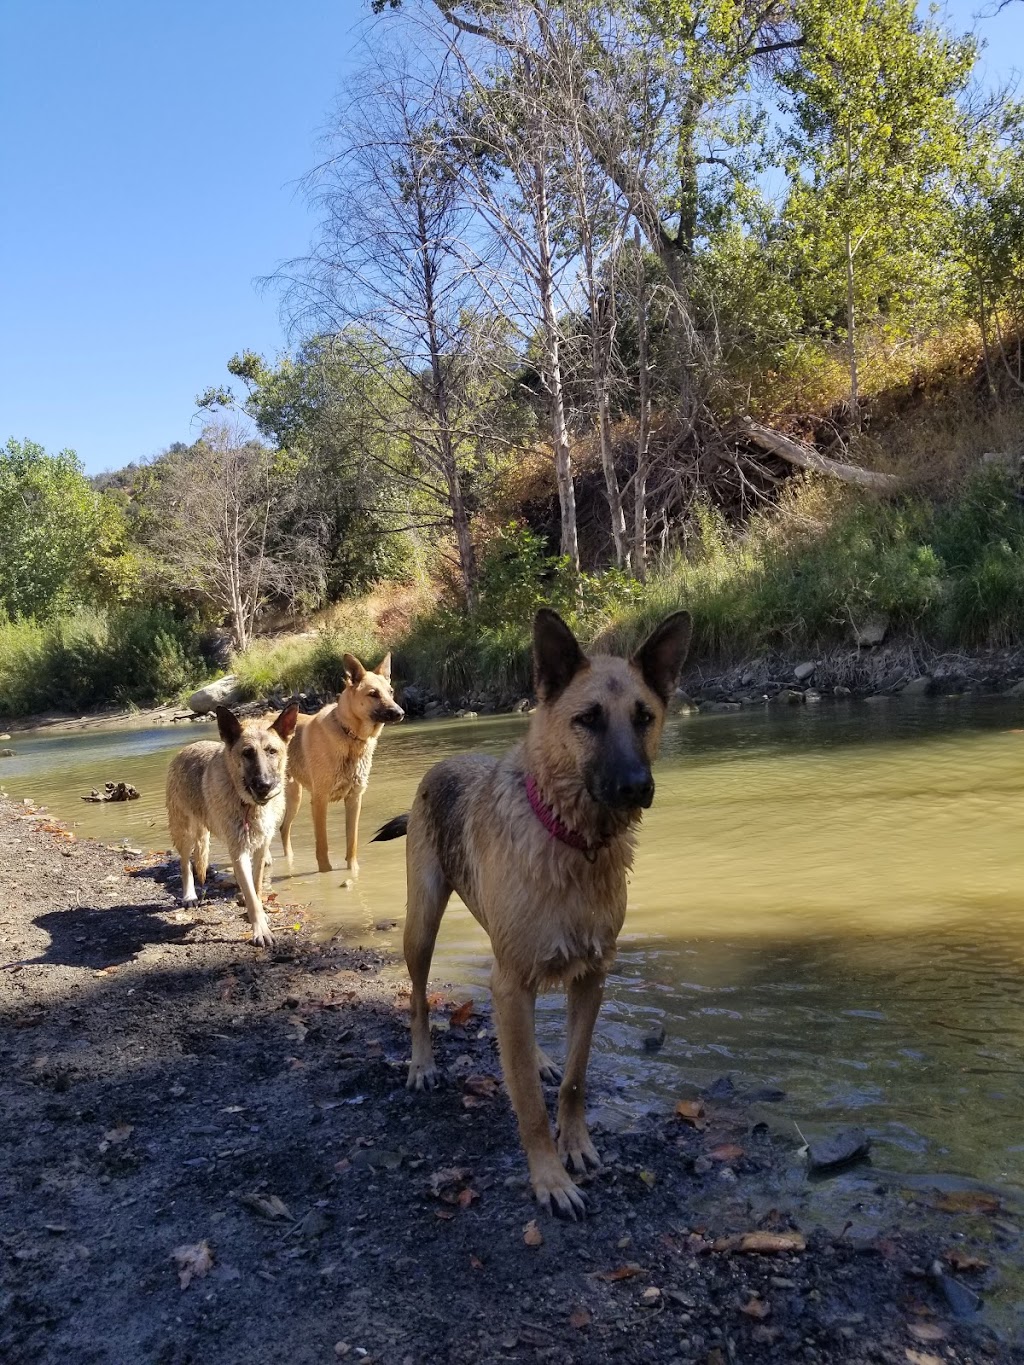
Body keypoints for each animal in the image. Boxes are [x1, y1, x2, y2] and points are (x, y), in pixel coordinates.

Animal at [166, 698, 299, 944]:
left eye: (272, 751)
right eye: (247, 753)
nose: (265, 785)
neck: (248, 804)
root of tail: (186, 749)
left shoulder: (260, 848)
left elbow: (256, 887)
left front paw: (257, 913)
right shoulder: (239, 851)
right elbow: (251, 894)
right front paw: (260, 928)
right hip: (185, 831)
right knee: (184, 863)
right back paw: (189, 895)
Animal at [285, 652, 409, 873]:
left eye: (391, 692)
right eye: (373, 693)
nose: (400, 713)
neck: (349, 736)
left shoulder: (354, 799)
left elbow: (352, 844)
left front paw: (353, 872)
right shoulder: (320, 801)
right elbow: (322, 846)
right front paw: (325, 873)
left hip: (294, 800)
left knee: (283, 830)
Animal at [374, 608, 693, 1217]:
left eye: (645, 717)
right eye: (588, 720)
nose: (636, 787)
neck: (572, 840)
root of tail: (441, 765)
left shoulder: (590, 978)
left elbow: (575, 1078)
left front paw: (577, 1143)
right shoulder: (513, 979)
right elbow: (527, 1101)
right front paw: (549, 1177)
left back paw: (541, 1054)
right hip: (422, 928)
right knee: (420, 1001)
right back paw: (422, 1064)